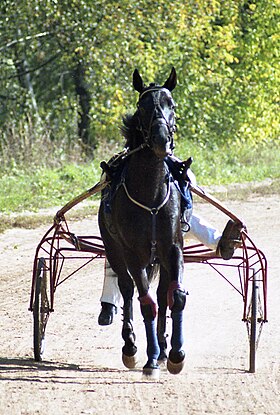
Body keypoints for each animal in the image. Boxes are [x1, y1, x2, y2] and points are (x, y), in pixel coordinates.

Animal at [98, 68, 186, 376]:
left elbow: (175, 297)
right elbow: (144, 302)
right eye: (142, 106)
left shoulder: (172, 247)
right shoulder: (132, 253)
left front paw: (175, 354)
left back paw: (163, 347)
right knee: (127, 288)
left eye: (171, 103)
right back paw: (132, 346)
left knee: (161, 293)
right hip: (114, 248)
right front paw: (149, 358)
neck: (150, 195)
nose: (161, 139)